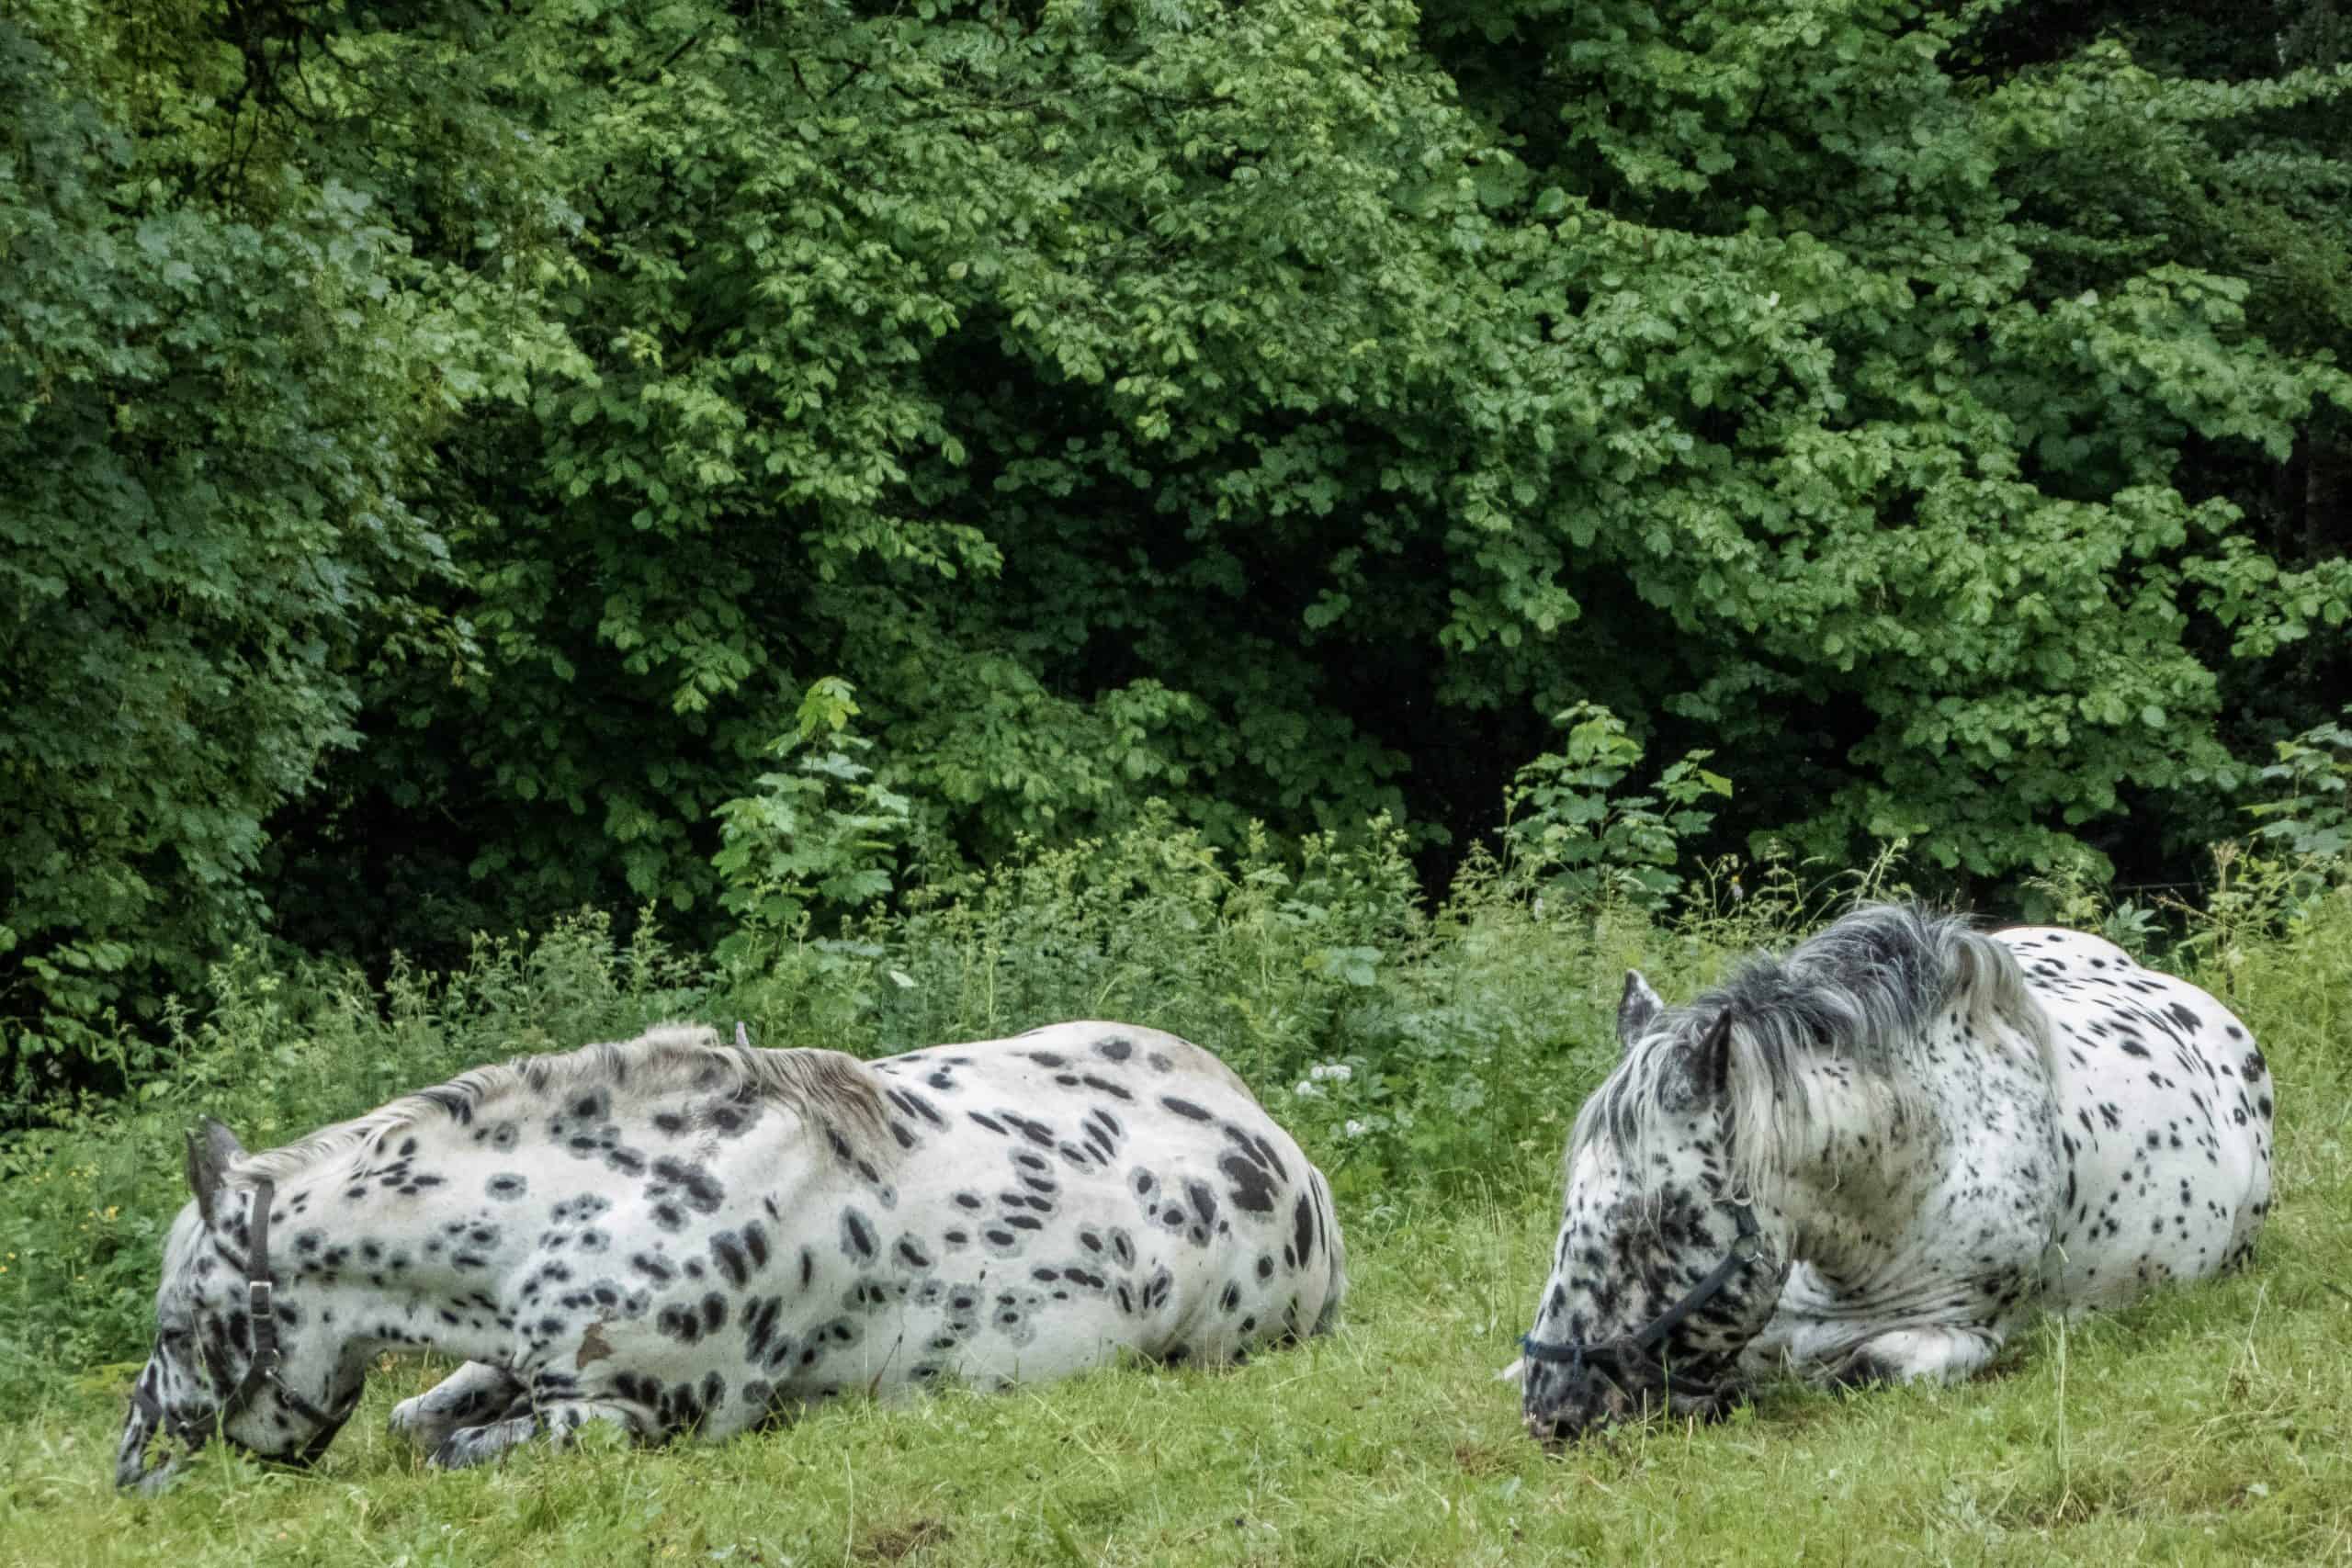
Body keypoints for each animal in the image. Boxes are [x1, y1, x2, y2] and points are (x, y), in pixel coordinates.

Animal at [119, 1024, 1354, 1495]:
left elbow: (451, 1452)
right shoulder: (510, 1365)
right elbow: (416, 1419)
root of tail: (1286, 1150)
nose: (131, 1471)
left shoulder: (625, 1424)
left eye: (176, 1330)